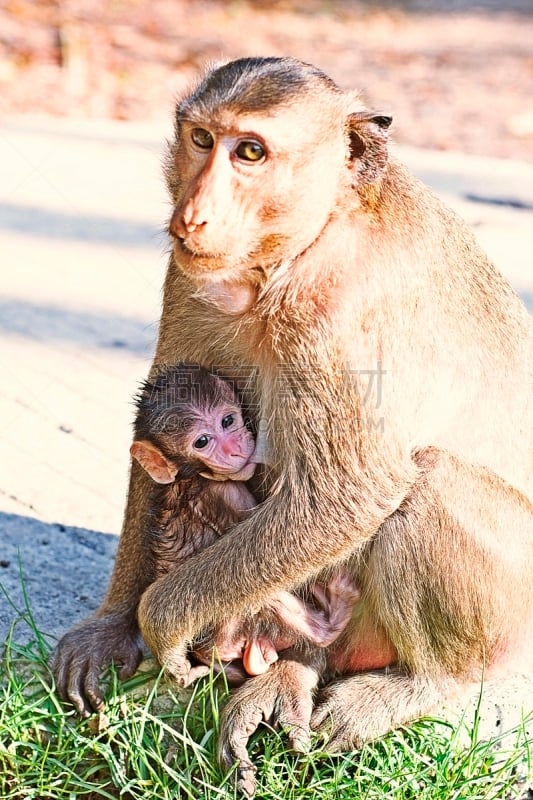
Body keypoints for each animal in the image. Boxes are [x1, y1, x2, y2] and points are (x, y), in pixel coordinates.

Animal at [131, 366, 360, 684]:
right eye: (202, 442)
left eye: (228, 421)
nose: (235, 449)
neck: (191, 476)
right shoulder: (227, 493)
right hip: (231, 628)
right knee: (265, 596)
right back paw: (330, 621)